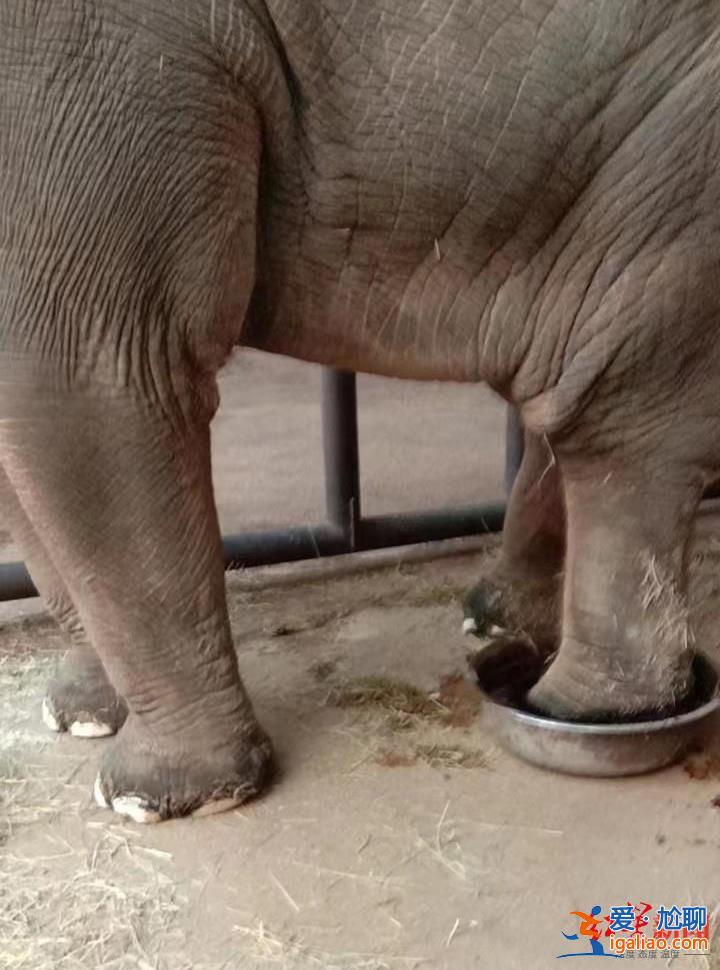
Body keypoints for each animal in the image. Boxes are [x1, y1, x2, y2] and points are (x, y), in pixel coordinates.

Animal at [2, 0, 719, 822]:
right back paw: (501, 629)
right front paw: (84, 718)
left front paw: (156, 801)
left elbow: (86, 372)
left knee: (616, 413)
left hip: (683, 161)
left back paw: (574, 708)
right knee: (571, 395)